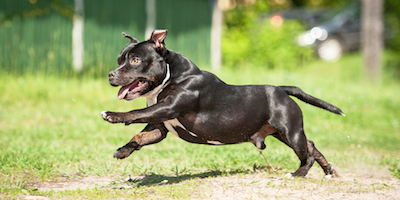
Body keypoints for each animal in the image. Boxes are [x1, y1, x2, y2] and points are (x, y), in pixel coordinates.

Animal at [100, 29, 344, 177]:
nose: (111, 74)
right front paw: (123, 151)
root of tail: (281, 89)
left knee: (307, 154)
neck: (172, 74)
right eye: (119, 60)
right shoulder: (159, 126)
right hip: (284, 133)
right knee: (311, 145)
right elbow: (140, 135)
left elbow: (136, 112)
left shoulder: (168, 108)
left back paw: (297, 174)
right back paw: (329, 170)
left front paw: (113, 115)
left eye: (135, 60)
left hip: (290, 132)